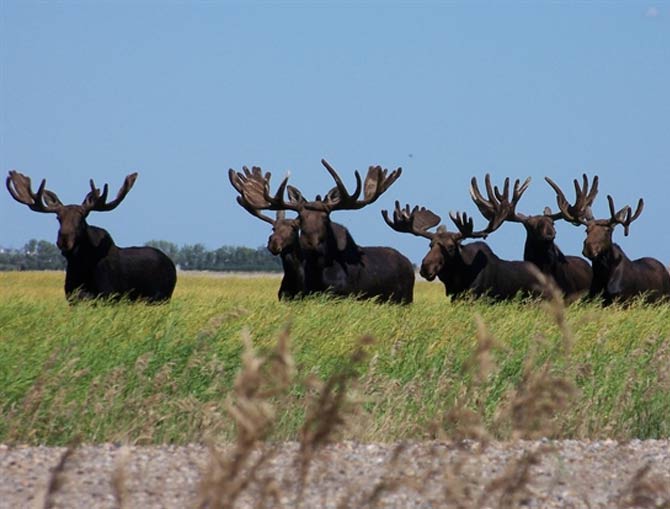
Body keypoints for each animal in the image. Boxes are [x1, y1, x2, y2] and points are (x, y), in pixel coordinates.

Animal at [5, 169, 177, 304]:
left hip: (161, 298)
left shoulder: (110, 297)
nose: (64, 240)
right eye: (58, 218)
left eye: (82, 218)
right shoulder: (73, 298)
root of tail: (171, 264)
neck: (81, 266)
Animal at [234, 160, 418, 302]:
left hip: (405, 300)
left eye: (325, 218)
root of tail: (408, 263)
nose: (309, 242)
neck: (315, 275)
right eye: (301, 218)